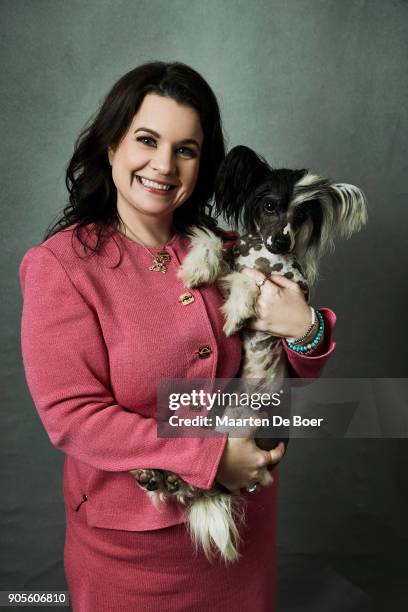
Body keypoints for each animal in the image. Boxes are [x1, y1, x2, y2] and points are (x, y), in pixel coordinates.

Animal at [132, 143, 368, 564]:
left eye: (302, 215)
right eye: (271, 205)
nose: (283, 242)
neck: (264, 255)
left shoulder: (290, 288)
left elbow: (251, 281)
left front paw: (238, 312)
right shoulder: (233, 263)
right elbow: (216, 246)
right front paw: (198, 267)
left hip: (248, 434)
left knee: (209, 484)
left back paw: (167, 480)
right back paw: (158, 476)